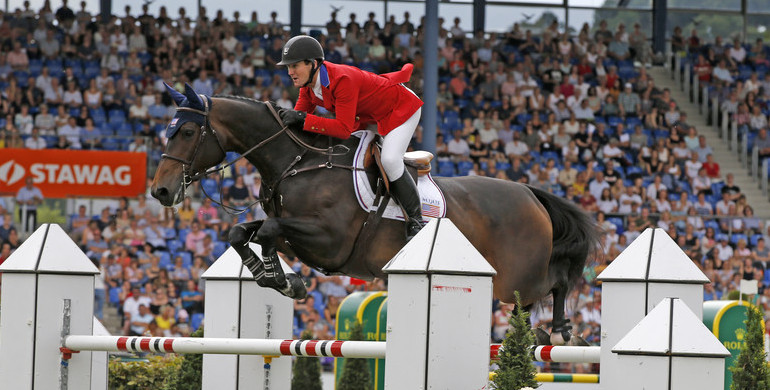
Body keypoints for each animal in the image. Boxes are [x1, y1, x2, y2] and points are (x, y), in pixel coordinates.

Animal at [150, 84, 600, 342]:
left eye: (186, 132)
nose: (160, 190)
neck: (298, 162)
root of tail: (528, 192)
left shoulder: (329, 240)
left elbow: (267, 230)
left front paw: (284, 281)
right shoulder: (300, 236)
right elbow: (243, 231)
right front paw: (274, 277)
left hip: (517, 277)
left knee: (556, 282)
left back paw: (561, 331)